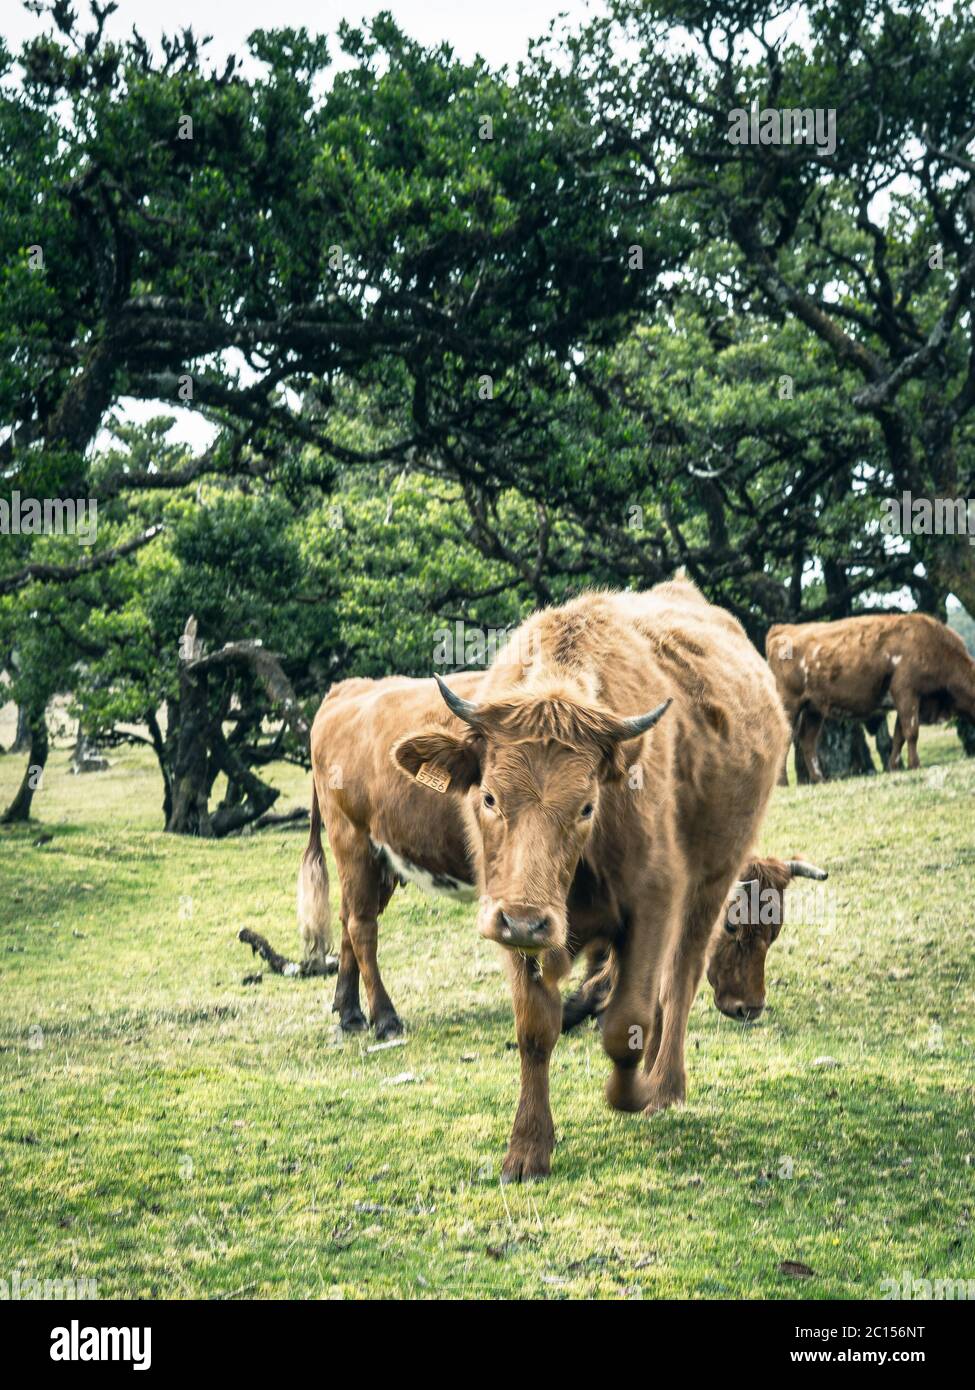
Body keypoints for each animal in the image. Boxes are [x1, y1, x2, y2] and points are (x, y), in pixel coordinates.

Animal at [392, 581, 790, 1178]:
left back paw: (665, 1087)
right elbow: (536, 1030)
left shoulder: (653, 904)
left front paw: (634, 1094)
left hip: (712, 882)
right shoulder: (514, 927)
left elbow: (625, 1026)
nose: (526, 921)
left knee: (680, 978)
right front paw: (527, 1148)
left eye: (586, 806)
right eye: (489, 797)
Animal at [767, 611, 973, 783]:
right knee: (785, 738)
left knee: (807, 741)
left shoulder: (905, 701)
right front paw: (915, 765)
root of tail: (782, 629)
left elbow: (899, 736)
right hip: (789, 704)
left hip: (814, 709)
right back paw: (782, 782)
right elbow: (911, 732)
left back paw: (819, 779)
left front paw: (894, 767)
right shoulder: (906, 692)